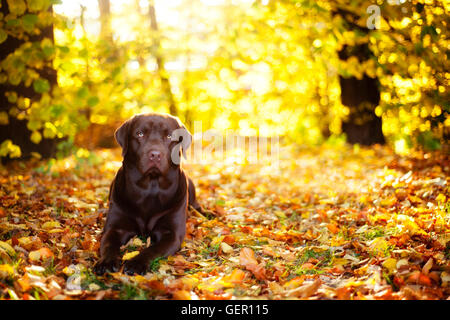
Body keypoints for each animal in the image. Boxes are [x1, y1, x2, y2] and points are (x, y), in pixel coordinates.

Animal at [93, 113, 200, 276]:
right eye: (140, 134)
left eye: (169, 136)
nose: (155, 154)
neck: (150, 188)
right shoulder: (115, 228)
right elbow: (108, 245)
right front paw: (106, 262)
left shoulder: (171, 233)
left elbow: (152, 249)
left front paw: (136, 263)